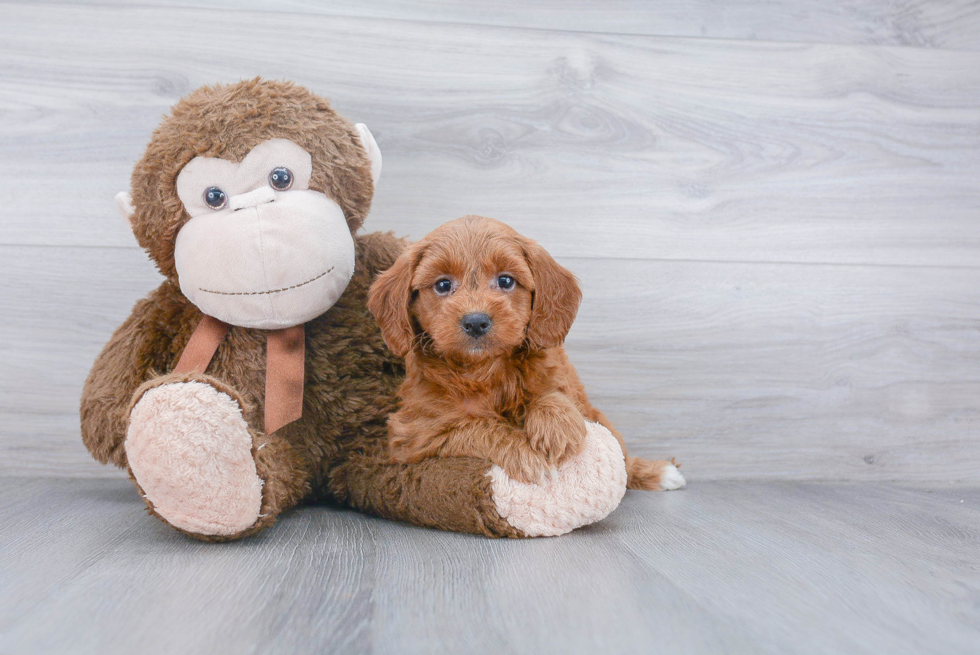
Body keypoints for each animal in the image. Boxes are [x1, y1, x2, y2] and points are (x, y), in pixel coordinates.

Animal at [368, 218, 680, 490]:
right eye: (443, 285)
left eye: (506, 281)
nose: (476, 321)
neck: (483, 368)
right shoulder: (417, 431)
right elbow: (475, 426)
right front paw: (527, 455)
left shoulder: (561, 377)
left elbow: (553, 392)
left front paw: (557, 426)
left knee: (623, 455)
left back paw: (656, 472)